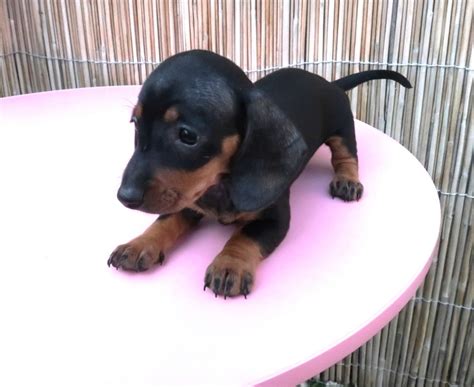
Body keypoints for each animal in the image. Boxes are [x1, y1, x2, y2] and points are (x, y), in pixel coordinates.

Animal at [107, 50, 412, 300]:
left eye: (187, 135)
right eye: (135, 123)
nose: (125, 197)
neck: (220, 183)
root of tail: (330, 83)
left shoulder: (274, 219)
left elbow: (246, 236)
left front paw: (229, 265)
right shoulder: (187, 198)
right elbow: (164, 222)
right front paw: (138, 245)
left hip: (342, 128)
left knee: (346, 155)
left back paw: (347, 181)